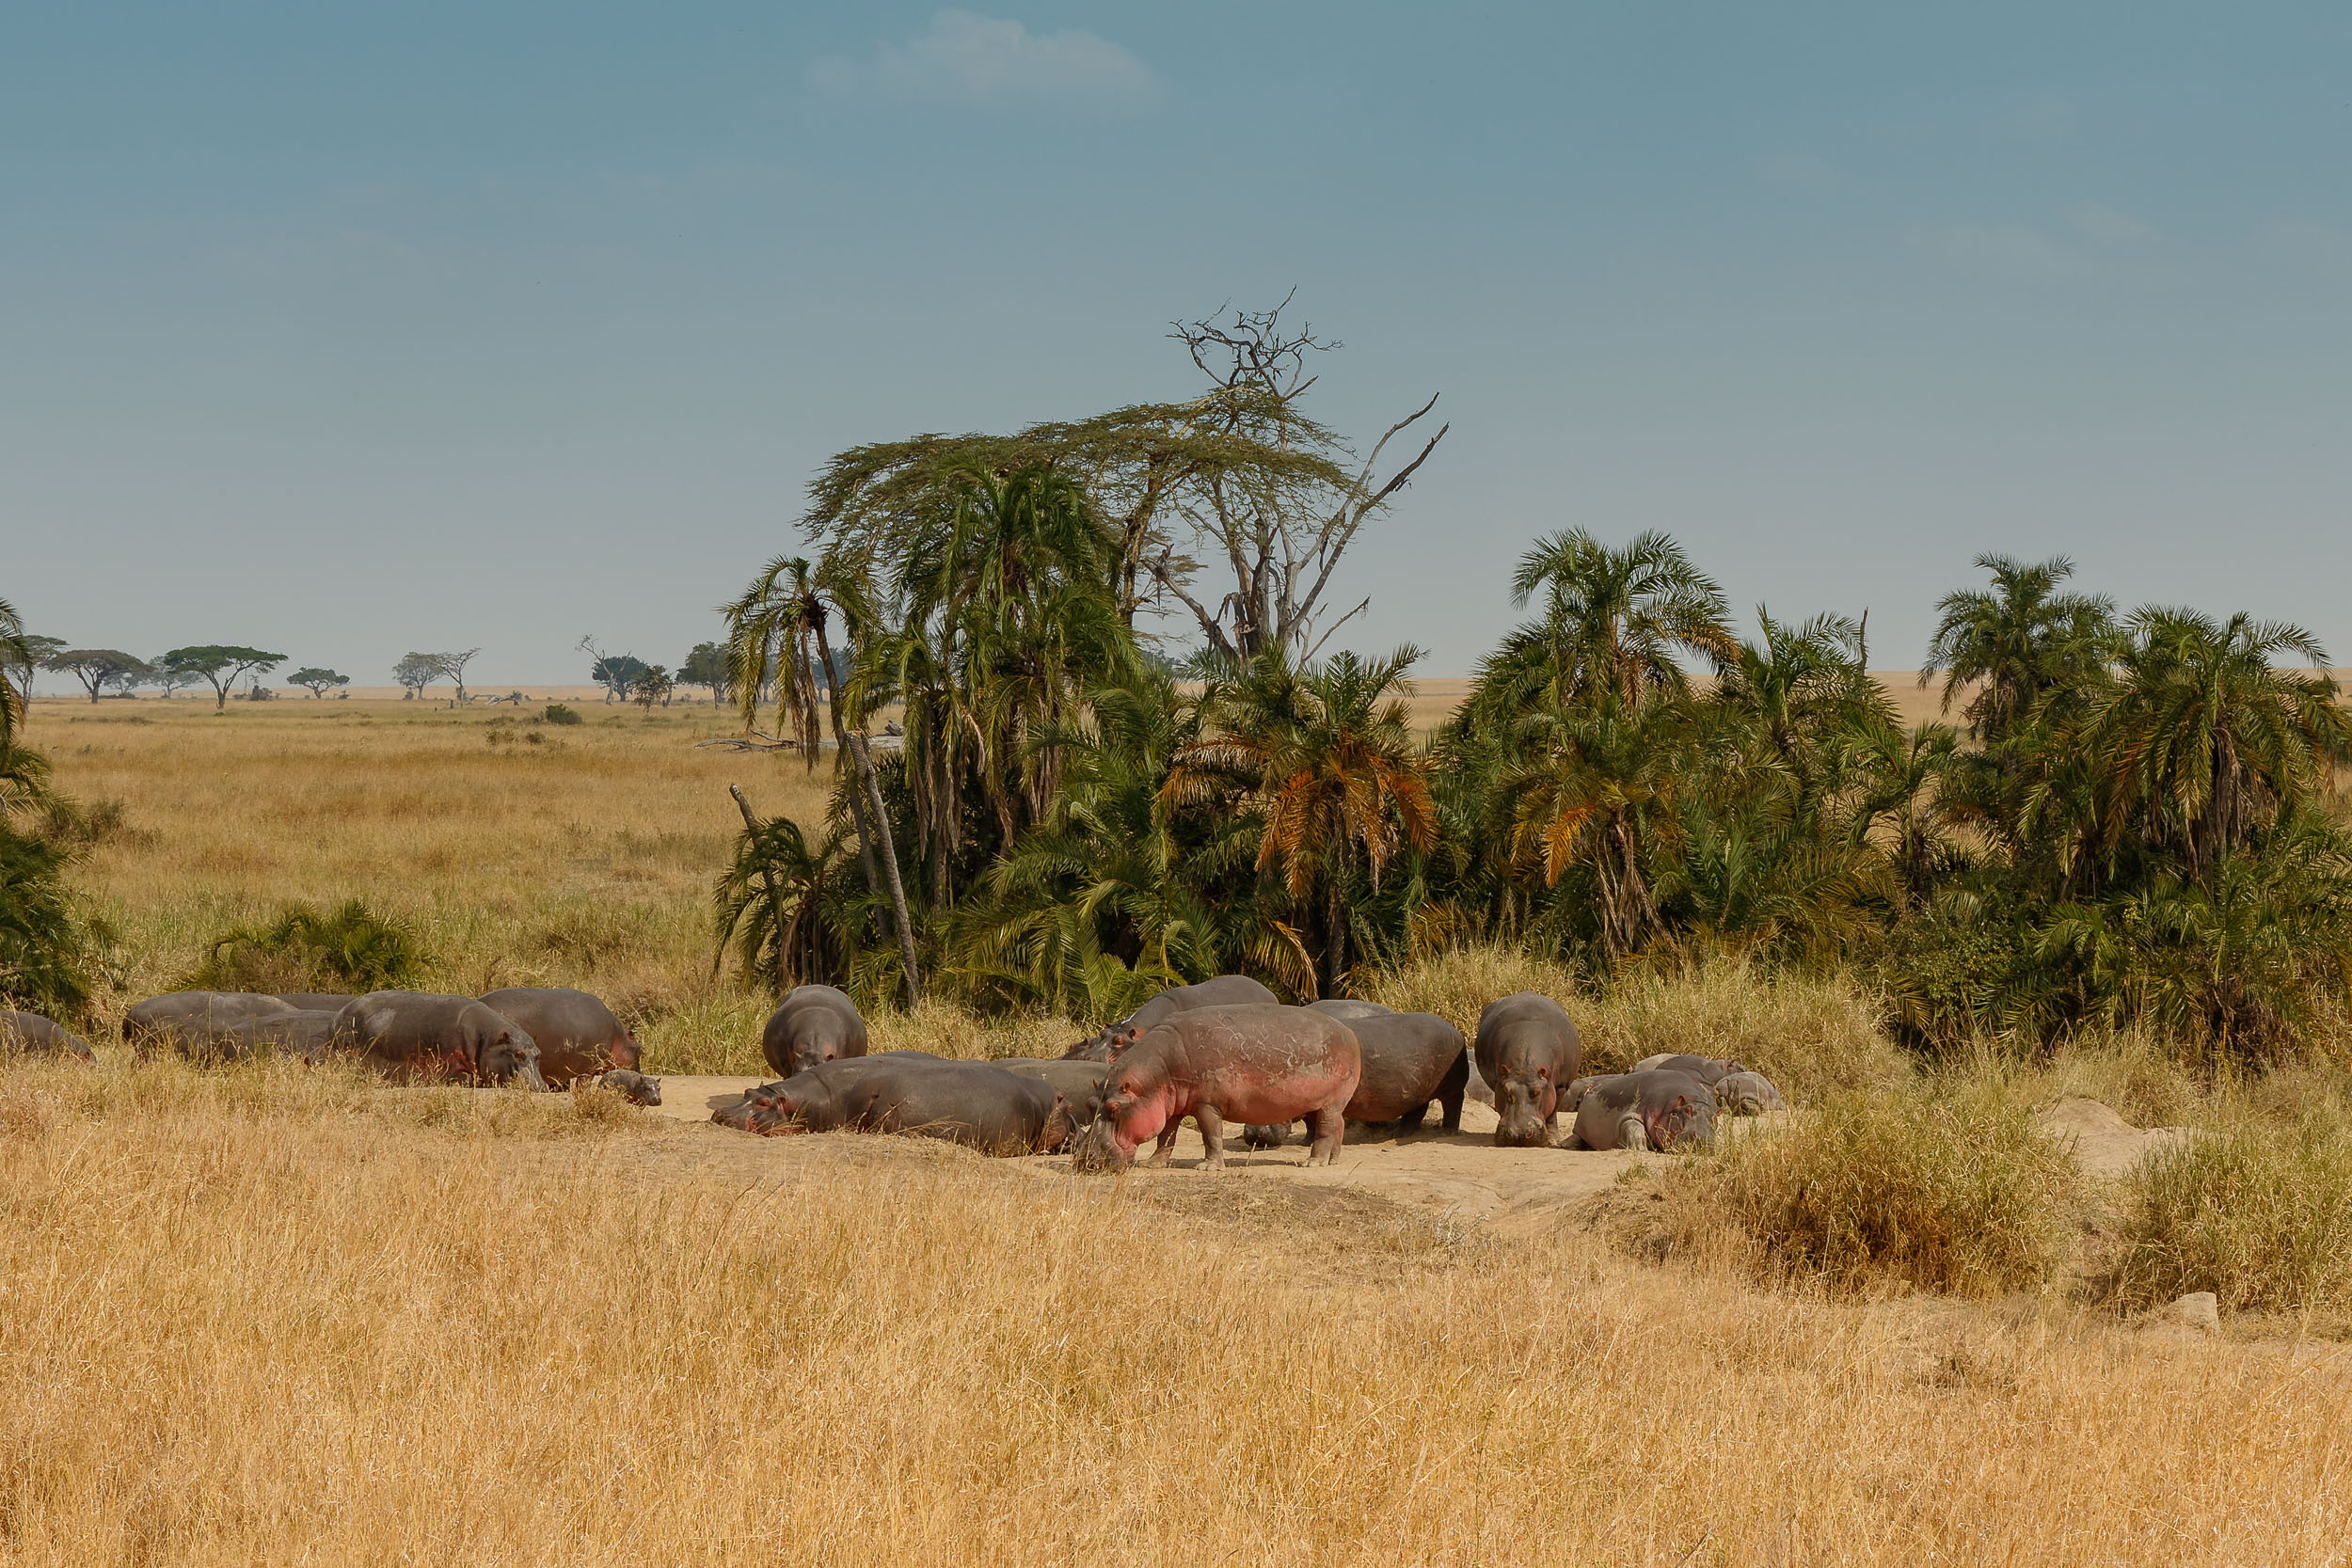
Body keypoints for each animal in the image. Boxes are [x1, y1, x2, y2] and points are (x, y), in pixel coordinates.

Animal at [479, 986, 642, 1087]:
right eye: (640, 1049)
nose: (641, 1075)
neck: (619, 1036)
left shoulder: (560, 1069)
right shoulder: (591, 1067)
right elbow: (583, 1087)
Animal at [1072, 1005, 1361, 1173]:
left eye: (1113, 1107)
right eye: (1091, 1104)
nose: (1084, 1160)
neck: (1157, 1075)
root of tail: (1350, 1033)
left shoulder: (1206, 1105)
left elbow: (1210, 1135)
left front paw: (1208, 1168)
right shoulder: (1170, 1108)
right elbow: (1166, 1137)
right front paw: (1152, 1164)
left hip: (1329, 1103)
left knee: (1325, 1131)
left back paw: (1313, 1163)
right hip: (1325, 1105)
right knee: (1338, 1127)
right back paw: (1333, 1161)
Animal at [1242, 1010, 1468, 1148]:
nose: (1255, 1134)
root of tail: (1455, 1031)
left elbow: (1317, 1120)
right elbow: (1310, 1122)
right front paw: (1305, 1142)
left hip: (1452, 1088)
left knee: (1453, 1107)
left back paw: (1445, 1132)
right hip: (1416, 1091)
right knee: (1416, 1111)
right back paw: (1396, 1134)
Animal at [1474, 992, 1583, 1148]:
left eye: (1537, 1091)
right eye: (1505, 1090)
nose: (1518, 1134)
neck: (1524, 1068)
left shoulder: (1560, 1086)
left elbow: (1552, 1114)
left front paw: (1553, 1140)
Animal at [1569, 1069, 1717, 1153]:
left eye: (1714, 1117)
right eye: (1687, 1110)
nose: (1704, 1138)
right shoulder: (1633, 1112)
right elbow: (1634, 1128)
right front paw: (1641, 1149)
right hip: (1579, 1130)